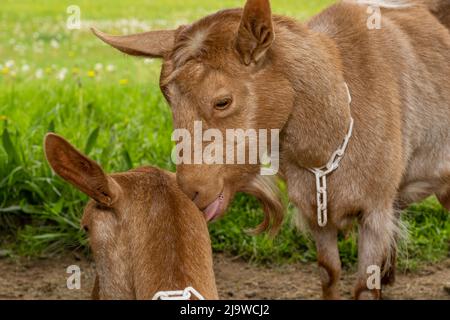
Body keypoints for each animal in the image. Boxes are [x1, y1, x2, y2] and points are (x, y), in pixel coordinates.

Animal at [93, 0, 448, 300]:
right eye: (167, 98)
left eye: (222, 101)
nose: (192, 191)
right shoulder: (314, 210)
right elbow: (329, 273)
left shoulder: (374, 210)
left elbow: (363, 286)